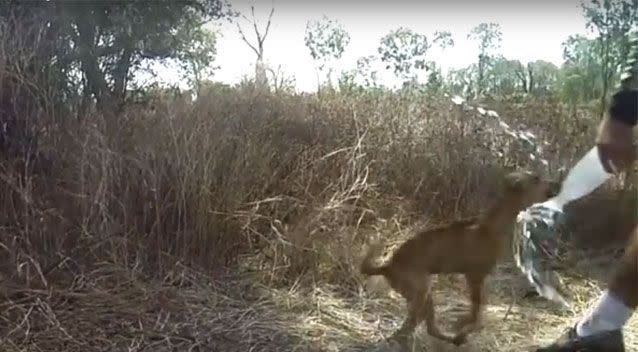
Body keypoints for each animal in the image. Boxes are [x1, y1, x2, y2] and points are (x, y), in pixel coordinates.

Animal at [362, 170, 556, 346]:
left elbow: (480, 308)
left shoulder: (481, 278)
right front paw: (467, 325)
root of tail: (387, 266)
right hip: (421, 290)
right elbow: (477, 310)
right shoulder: (474, 276)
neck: (494, 226)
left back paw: (453, 339)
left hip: (425, 295)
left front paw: (466, 326)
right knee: (407, 328)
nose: (555, 183)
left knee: (424, 327)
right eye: (536, 178)